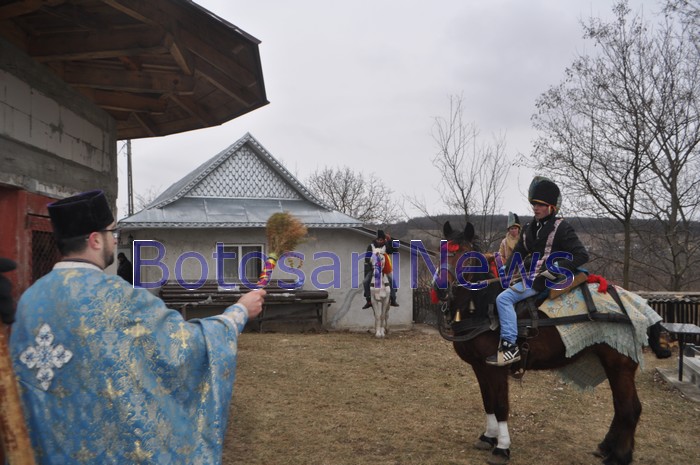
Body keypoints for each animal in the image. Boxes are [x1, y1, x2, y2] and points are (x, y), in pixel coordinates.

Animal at [434, 221, 662, 465]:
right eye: (441, 251)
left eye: (467, 256)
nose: (440, 288)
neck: (483, 305)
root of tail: (637, 306)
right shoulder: (479, 366)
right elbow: (488, 402)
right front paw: (488, 437)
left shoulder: (497, 369)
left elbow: (501, 406)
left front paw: (502, 447)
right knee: (620, 406)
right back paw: (606, 447)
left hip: (620, 365)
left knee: (629, 408)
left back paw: (619, 456)